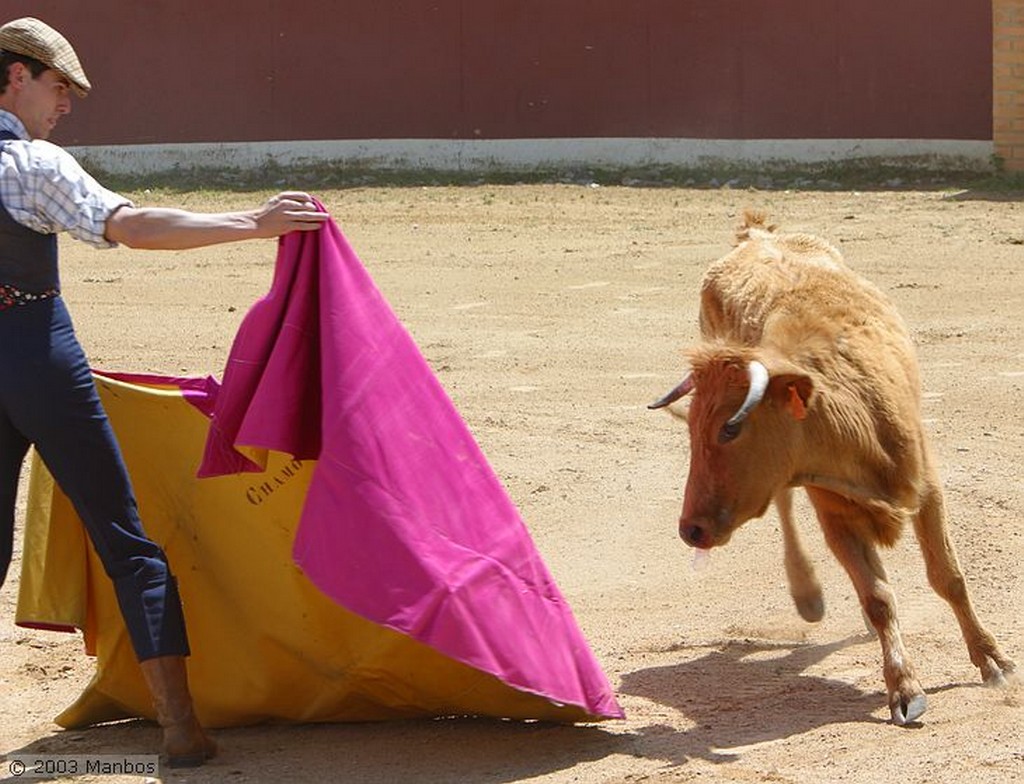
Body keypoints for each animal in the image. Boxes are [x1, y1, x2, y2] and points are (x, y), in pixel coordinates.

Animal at [651, 211, 1011, 728]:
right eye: (695, 427)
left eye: (730, 429)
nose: (690, 529)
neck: (854, 415)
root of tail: (754, 235)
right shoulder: (833, 513)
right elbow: (878, 597)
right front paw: (905, 688)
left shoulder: (927, 487)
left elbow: (948, 576)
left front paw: (992, 660)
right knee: (783, 504)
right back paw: (807, 594)